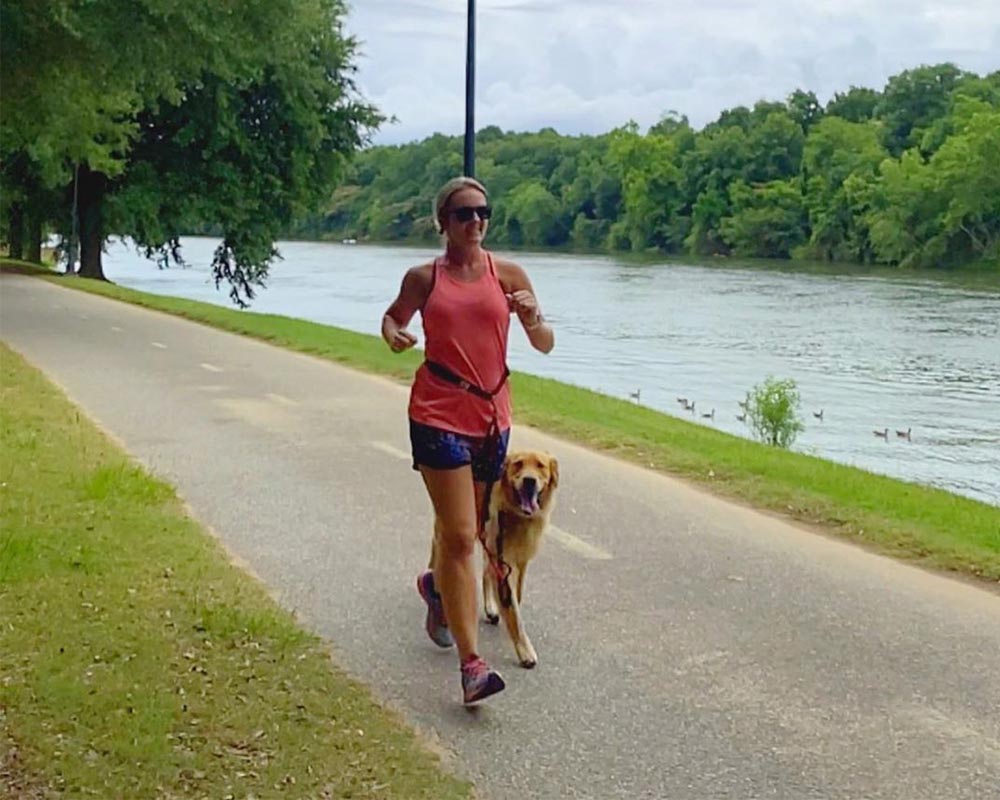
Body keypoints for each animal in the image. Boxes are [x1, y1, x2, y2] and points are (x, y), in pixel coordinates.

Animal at [482, 450, 560, 668]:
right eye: (518, 464)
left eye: (540, 465)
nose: (529, 481)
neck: (519, 517)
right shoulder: (503, 561)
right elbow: (515, 614)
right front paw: (525, 650)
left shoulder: (522, 560)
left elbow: (516, 596)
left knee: (485, 572)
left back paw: (491, 608)